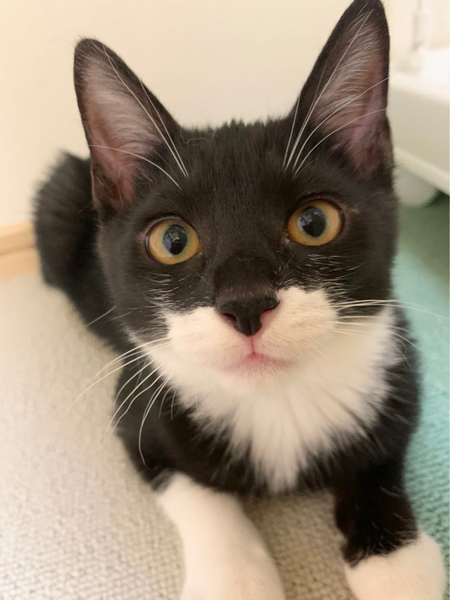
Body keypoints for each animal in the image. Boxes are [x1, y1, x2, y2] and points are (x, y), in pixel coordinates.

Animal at [34, 0, 445, 598]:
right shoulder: (137, 407)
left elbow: (383, 452)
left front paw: (394, 560)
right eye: (173, 241)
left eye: (314, 222)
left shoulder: (399, 368)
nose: (247, 303)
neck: (276, 404)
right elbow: (196, 490)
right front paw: (236, 575)